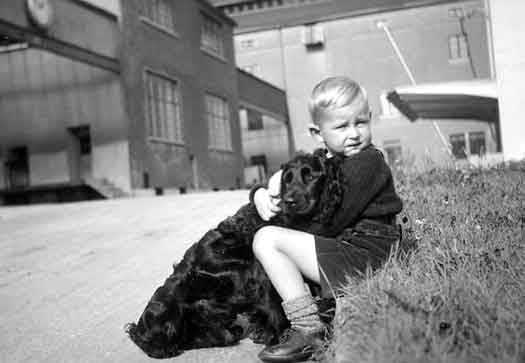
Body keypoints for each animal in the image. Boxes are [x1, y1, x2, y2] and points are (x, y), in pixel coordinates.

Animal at [125, 150, 342, 358]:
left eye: (310, 176)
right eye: (286, 179)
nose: (289, 201)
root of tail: (139, 330)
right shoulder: (261, 274)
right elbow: (276, 309)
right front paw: (281, 338)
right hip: (167, 312)